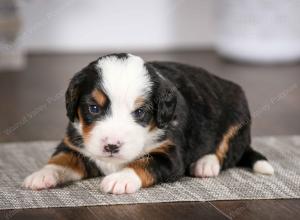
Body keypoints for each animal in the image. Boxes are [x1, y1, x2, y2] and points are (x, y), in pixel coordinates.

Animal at [23, 53, 274, 194]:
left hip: (238, 114)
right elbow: (61, 159)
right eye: (93, 108)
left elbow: (145, 163)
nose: (111, 146)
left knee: (228, 150)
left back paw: (206, 164)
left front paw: (121, 179)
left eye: (140, 112)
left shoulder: (169, 154)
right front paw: (42, 175)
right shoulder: (75, 143)